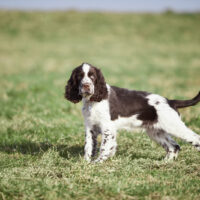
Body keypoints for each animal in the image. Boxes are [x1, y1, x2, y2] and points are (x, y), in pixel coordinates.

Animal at [65, 63, 200, 163]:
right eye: (79, 77)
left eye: (92, 76)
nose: (86, 86)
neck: (93, 101)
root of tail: (170, 101)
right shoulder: (90, 127)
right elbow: (88, 146)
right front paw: (86, 163)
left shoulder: (107, 127)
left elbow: (104, 147)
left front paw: (98, 162)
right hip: (155, 131)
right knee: (173, 146)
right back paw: (165, 162)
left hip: (174, 126)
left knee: (195, 138)